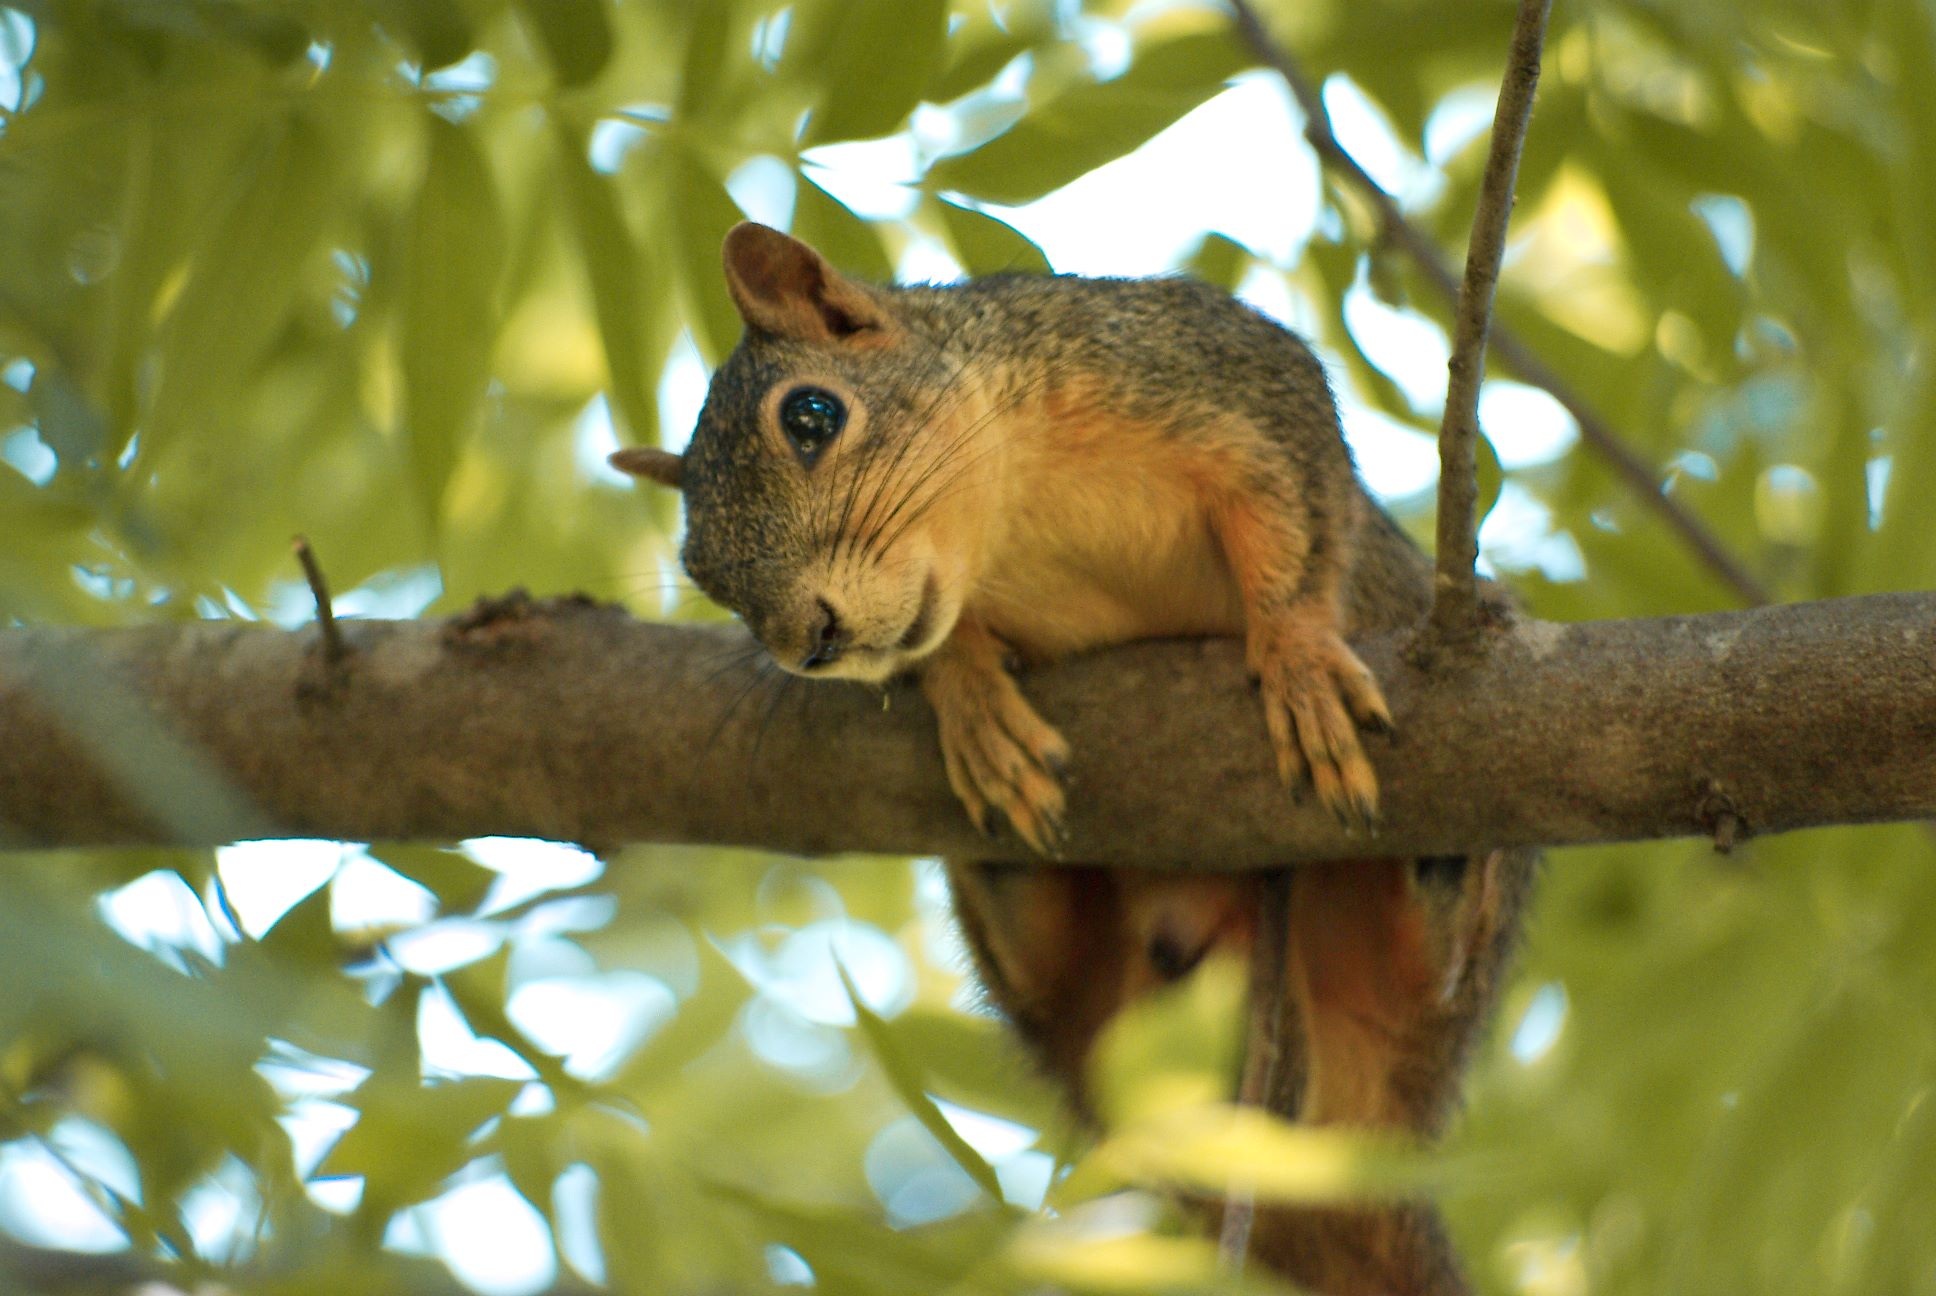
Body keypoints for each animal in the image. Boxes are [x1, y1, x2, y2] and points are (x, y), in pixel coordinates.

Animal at [611, 224, 1533, 1294]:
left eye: (812, 415)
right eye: (704, 574)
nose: (811, 642)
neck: (1012, 518)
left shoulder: (1221, 374)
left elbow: (1295, 523)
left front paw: (1298, 654)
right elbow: (943, 648)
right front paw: (970, 697)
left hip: (1427, 983)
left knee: (1429, 975)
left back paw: (1446, 864)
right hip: (1100, 1015)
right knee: (1051, 961)